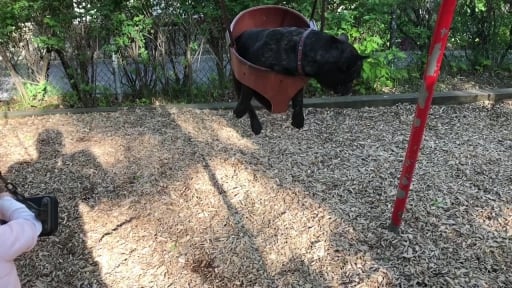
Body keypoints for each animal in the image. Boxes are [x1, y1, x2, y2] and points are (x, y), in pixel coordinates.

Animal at [232, 27, 368, 135]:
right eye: (352, 77)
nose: (349, 90)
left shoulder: (297, 80)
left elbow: (298, 99)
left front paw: (298, 119)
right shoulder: (250, 71)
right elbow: (247, 93)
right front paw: (240, 111)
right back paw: (254, 122)